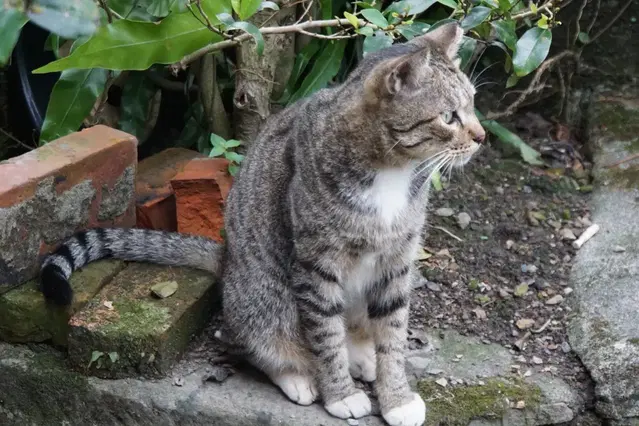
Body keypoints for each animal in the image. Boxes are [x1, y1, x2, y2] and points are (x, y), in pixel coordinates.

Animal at [41, 22, 484, 426]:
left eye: (474, 104)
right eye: (449, 116)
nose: (481, 136)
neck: (392, 171)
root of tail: (226, 261)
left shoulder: (397, 259)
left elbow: (392, 334)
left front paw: (396, 397)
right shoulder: (315, 263)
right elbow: (326, 336)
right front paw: (340, 394)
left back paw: (363, 356)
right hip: (265, 295)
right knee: (256, 342)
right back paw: (300, 376)